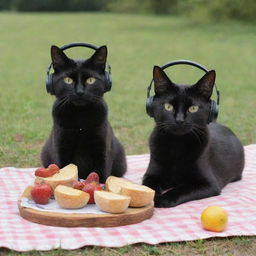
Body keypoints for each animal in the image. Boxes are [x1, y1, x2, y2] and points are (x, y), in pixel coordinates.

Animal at [40, 45, 127, 182]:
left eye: (91, 80)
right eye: (68, 80)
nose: (80, 92)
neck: (80, 117)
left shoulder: (101, 148)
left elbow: (102, 173)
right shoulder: (61, 146)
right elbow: (63, 168)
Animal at [142, 66, 244, 208]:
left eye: (193, 108)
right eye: (168, 106)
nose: (179, 120)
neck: (177, 144)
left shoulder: (209, 184)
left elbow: (182, 188)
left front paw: (163, 199)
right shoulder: (151, 174)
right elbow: (148, 187)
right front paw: (152, 198)